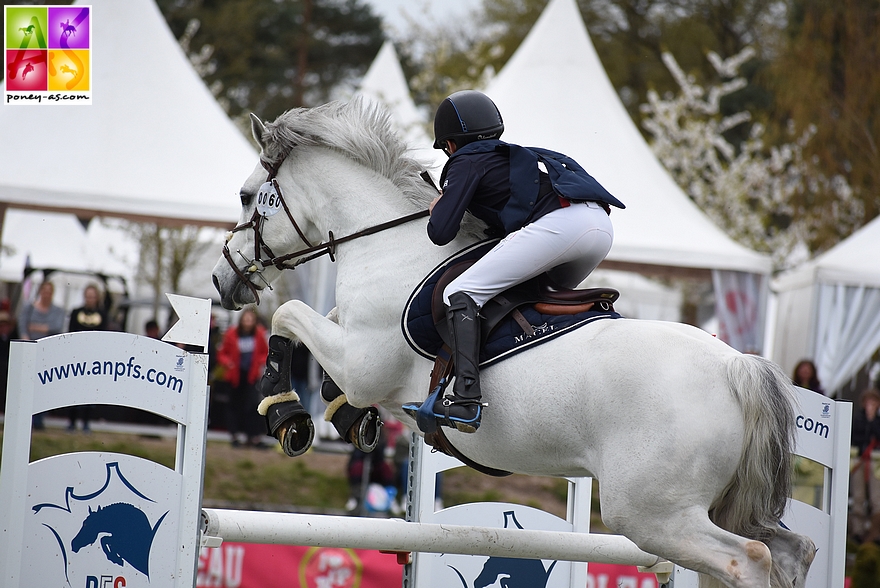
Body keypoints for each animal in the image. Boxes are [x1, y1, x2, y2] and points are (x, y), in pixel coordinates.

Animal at [213, 99, 820, 584]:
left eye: (245, 197)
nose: (223, 280)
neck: (386, 245)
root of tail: (737, 369)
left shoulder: (365, 362)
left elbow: (287, 315)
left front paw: (285, 412)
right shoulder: (353, 344)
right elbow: (318, 326)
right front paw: (343, 415)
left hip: (655, 513)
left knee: (748, 559)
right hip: (719, 505)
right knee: (793, 550)